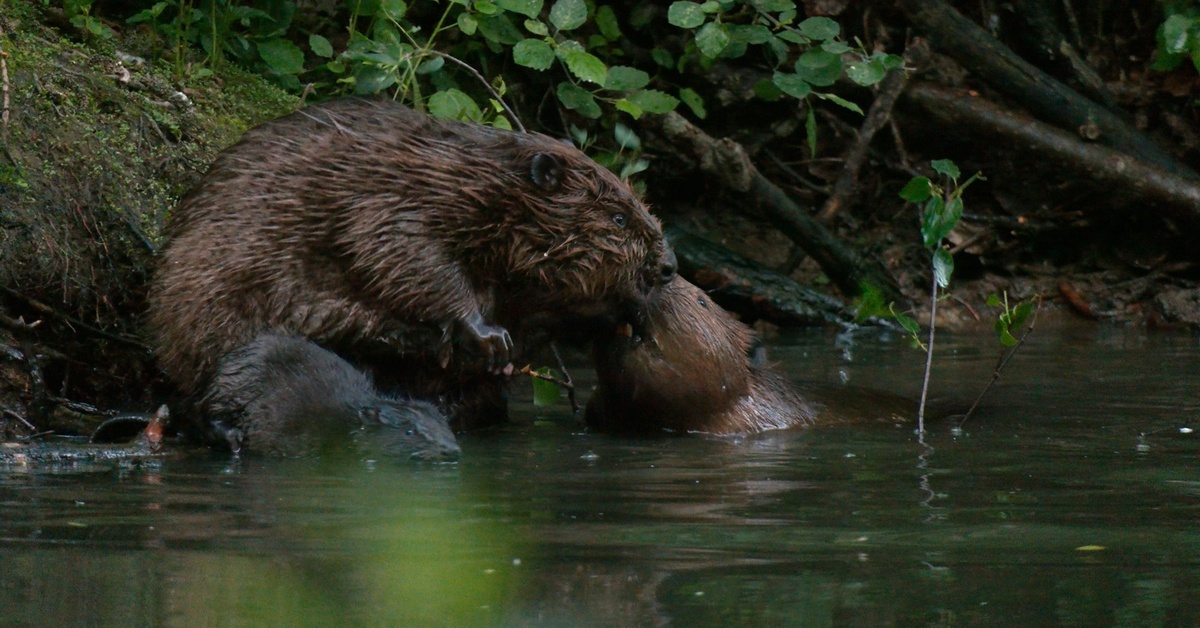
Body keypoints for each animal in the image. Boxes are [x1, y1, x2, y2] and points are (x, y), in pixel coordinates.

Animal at [150, 100, 676, 401]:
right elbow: (395, 246)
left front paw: (626, 308)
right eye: (619, 218)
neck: (470, 176)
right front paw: (487, 335)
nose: (669, 266)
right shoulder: (393, 197)